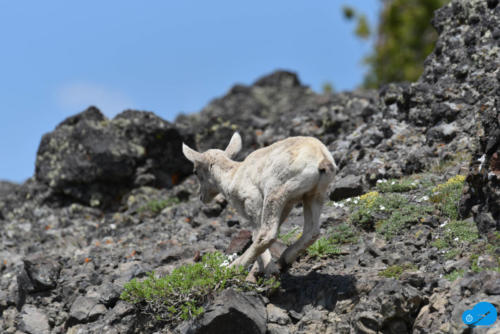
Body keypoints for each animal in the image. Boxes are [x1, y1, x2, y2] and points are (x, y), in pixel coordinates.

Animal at [182, 133, 338, 280]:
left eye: (195, 171)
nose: (201, 197)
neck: (232, 176)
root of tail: (322, 159)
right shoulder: (288, 204)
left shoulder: (253, 200)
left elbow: (257, 234)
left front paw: (264, 270)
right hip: (314, 195)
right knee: (312, 232)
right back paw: (283, 260)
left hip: (276, 192)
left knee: (267, 234)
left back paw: (234, 268)